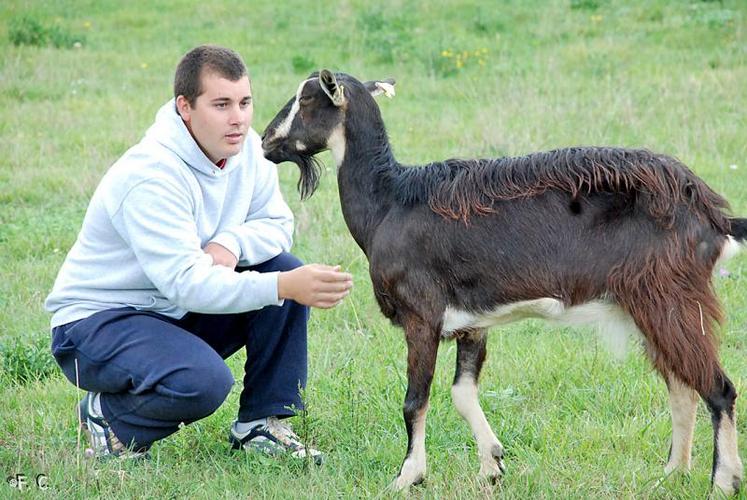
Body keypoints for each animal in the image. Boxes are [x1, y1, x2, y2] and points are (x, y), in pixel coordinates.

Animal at [262, 69, 747, 492]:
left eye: (308, 99)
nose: (266, 141)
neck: (390, 203)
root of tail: (710, 212)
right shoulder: (471, 323)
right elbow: (462, 392)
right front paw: (491, 466)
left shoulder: (422, 316)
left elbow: (415, 399)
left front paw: (407, 476)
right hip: (649, 305)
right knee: (682, 388)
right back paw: (670, 475)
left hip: (670, 299)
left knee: (718, 387)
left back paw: (721, 481)